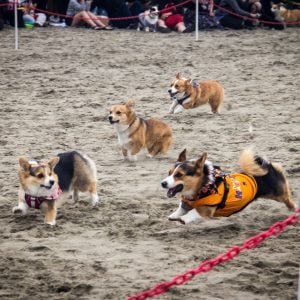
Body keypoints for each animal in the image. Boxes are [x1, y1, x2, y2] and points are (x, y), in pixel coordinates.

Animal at [162, 149, 296, 224]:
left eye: (179, 175)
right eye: (169, 173)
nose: (163, 183)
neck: (203, 186)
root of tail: (267, 166)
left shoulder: (207, 209)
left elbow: (195, 211)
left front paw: (183, 219)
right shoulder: (186, 202)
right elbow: (181, 208)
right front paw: (174, 215)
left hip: (279, 194)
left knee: (288, 200)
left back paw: (294, 210)